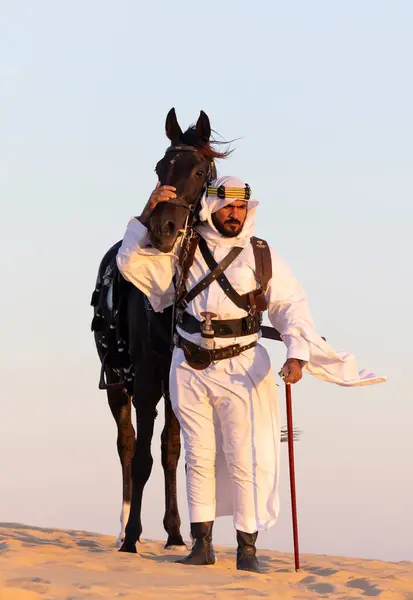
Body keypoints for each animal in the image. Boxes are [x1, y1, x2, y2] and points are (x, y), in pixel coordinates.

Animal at [91, 109, 230, 552]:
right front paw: (133, 537)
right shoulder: (148, 380)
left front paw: (175, 532)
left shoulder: (176, 381)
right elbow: (142, 458)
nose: (163, 229)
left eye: (200, 170)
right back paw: (122, 529)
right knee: (126, 444)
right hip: (118, 383)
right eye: (159, 168)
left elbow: (171, 450)